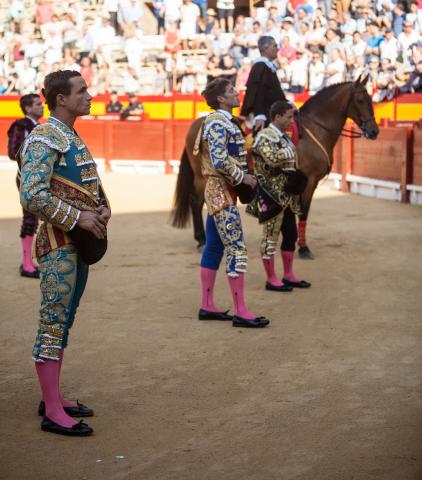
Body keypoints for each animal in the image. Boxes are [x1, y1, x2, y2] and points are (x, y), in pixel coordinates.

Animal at [171, 75, 379, 258]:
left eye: (371, 99)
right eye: (361, 99)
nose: (374, 131)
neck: (315, 128)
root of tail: (197, 123)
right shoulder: (309, 181)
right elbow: (304, 212)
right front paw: (303, 248)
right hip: (201, 176)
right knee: (197, 201)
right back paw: (202, 240)